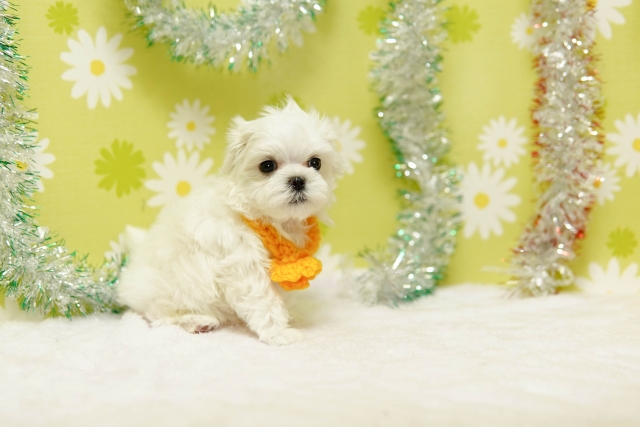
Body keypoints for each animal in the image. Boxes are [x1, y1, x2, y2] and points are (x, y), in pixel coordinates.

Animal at [117, 98, 346, 345]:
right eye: (267, 166)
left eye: (315, 163)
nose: (297, 180)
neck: (269, 219)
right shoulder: (242, 261)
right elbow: (263, 302)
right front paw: (279, 333)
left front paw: (290, 316)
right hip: (168, 291)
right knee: (158, 316)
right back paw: (196, 321)